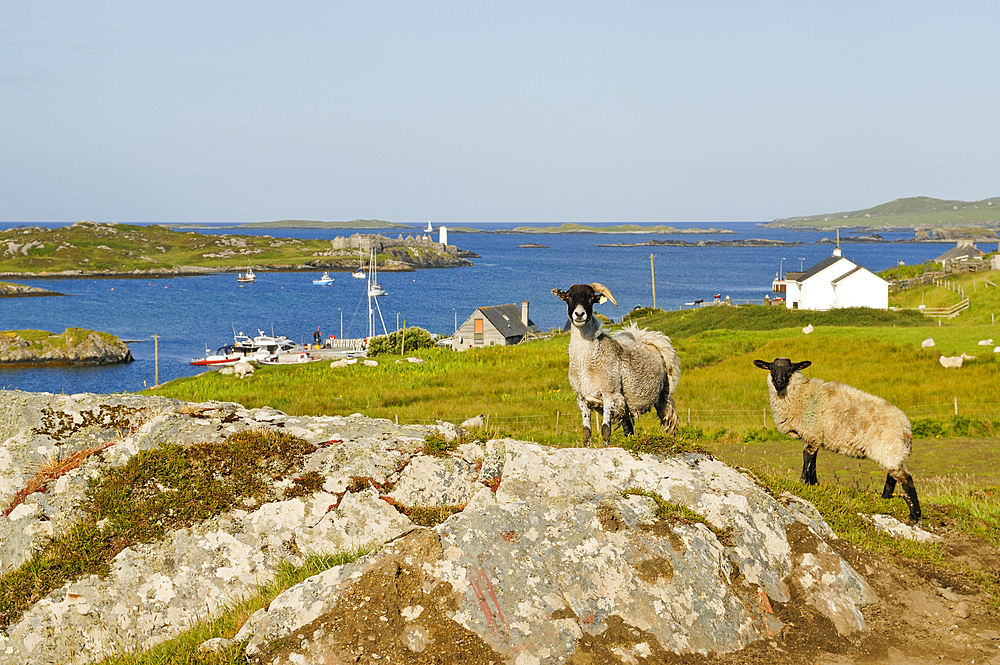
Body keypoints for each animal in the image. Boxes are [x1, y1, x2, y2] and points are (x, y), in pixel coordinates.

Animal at [552, 280, 684, 446]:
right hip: (626, 408)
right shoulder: (582, 399)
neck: (588, 362)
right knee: (629, 431)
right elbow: (586, 432)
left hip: (664, 395)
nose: (579, 314)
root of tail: (647, 336)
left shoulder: (610, 395)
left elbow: (605, 430)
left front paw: (605, 447)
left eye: (591, 297)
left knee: (671, 422)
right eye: (568, 297)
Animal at [752, 358, 920, 524]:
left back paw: (914, 516)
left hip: (888, 448)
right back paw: (884, 499)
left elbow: (806, 457)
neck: (800, 394)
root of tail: (906, 427)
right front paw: (814, 484)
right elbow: (813, 461)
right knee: (892, 477)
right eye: (771, 369)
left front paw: (802, 483)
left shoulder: (812, 433)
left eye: (790, 370)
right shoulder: (817, 436)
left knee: (906, 479)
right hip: (890, 451)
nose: (779, 382)